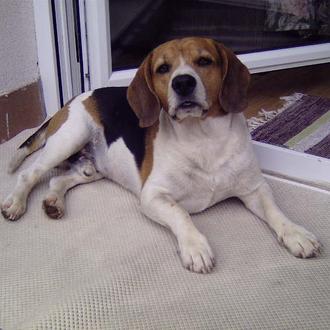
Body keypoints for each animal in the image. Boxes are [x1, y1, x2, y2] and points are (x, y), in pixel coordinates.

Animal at [0, 37, 320, 272]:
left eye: (204, 61)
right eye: (163, 69)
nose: (183, 83)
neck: (203, 138)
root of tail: (76, 97)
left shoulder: (255, 188)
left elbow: (275, 211)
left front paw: (297, 234)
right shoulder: (153, 196)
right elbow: (181, 213)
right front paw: (195, 247)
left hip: (94, 168)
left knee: (59, 180)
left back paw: (54, 202)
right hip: (70, 137)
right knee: (30, 173)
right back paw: (16, 203)